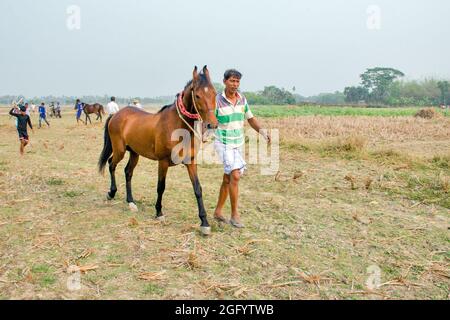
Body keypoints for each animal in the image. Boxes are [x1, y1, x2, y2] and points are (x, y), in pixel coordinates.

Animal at [97, 65, 219, 235]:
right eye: (198, 95)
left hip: (134, 153)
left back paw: (131, 202)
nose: (212, 125)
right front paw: (159, 212)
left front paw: (204, 223)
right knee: (111, 164)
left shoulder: (191, 162)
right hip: (119, 150)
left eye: (214, 93)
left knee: (128, 172)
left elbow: (197, 189)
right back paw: (111, 193)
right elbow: (161, 187)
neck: (176, 126)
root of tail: (116, 114)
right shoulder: (163, 162)